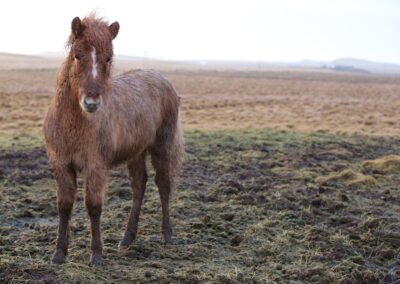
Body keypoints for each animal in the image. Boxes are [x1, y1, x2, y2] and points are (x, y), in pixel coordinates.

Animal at [43, 14, 184, 266]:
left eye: (108, 57)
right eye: (77, 55)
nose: (91, 103)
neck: (73, 123)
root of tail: (162, 78)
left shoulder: (95, 166)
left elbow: (93, 206)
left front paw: (96, 255)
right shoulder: (61, 164)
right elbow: (64, 205)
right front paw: (59, 253)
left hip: (161, 147)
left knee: (163, 185)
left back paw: (167, 236)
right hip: (137, 152)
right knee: (139, 186)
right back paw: (127, 239)